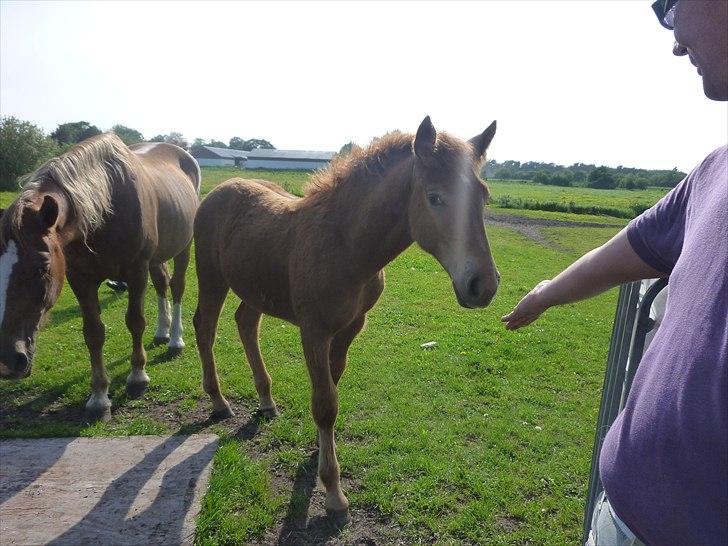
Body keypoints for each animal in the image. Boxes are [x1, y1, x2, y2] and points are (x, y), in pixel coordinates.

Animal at [0, 133, 199, 420]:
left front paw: (137, 377)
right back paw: (162, 331)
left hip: (184, 247)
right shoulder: (80, 279)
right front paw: (99, 397)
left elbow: (135, 322)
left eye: (42, 267)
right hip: (159, 255)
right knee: (162, 283)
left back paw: (174, 340)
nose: (6, 361)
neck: (106, 211)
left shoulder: (136, 273)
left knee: (177, 287)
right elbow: (93, 333)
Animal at [193, 116, 500, 510]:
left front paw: (320, 451)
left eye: (483, 196)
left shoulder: (350, 327)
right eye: (434, 197)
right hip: (211, 277)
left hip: (256, 288)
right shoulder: (314, 330)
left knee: (245, 323)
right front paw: (333, 490)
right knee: (205, 327)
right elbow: (325, 402)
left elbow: (333, 387)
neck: (346, 246)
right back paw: (218, 400)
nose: (484, 285)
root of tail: (221, 188)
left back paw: (266, 400)